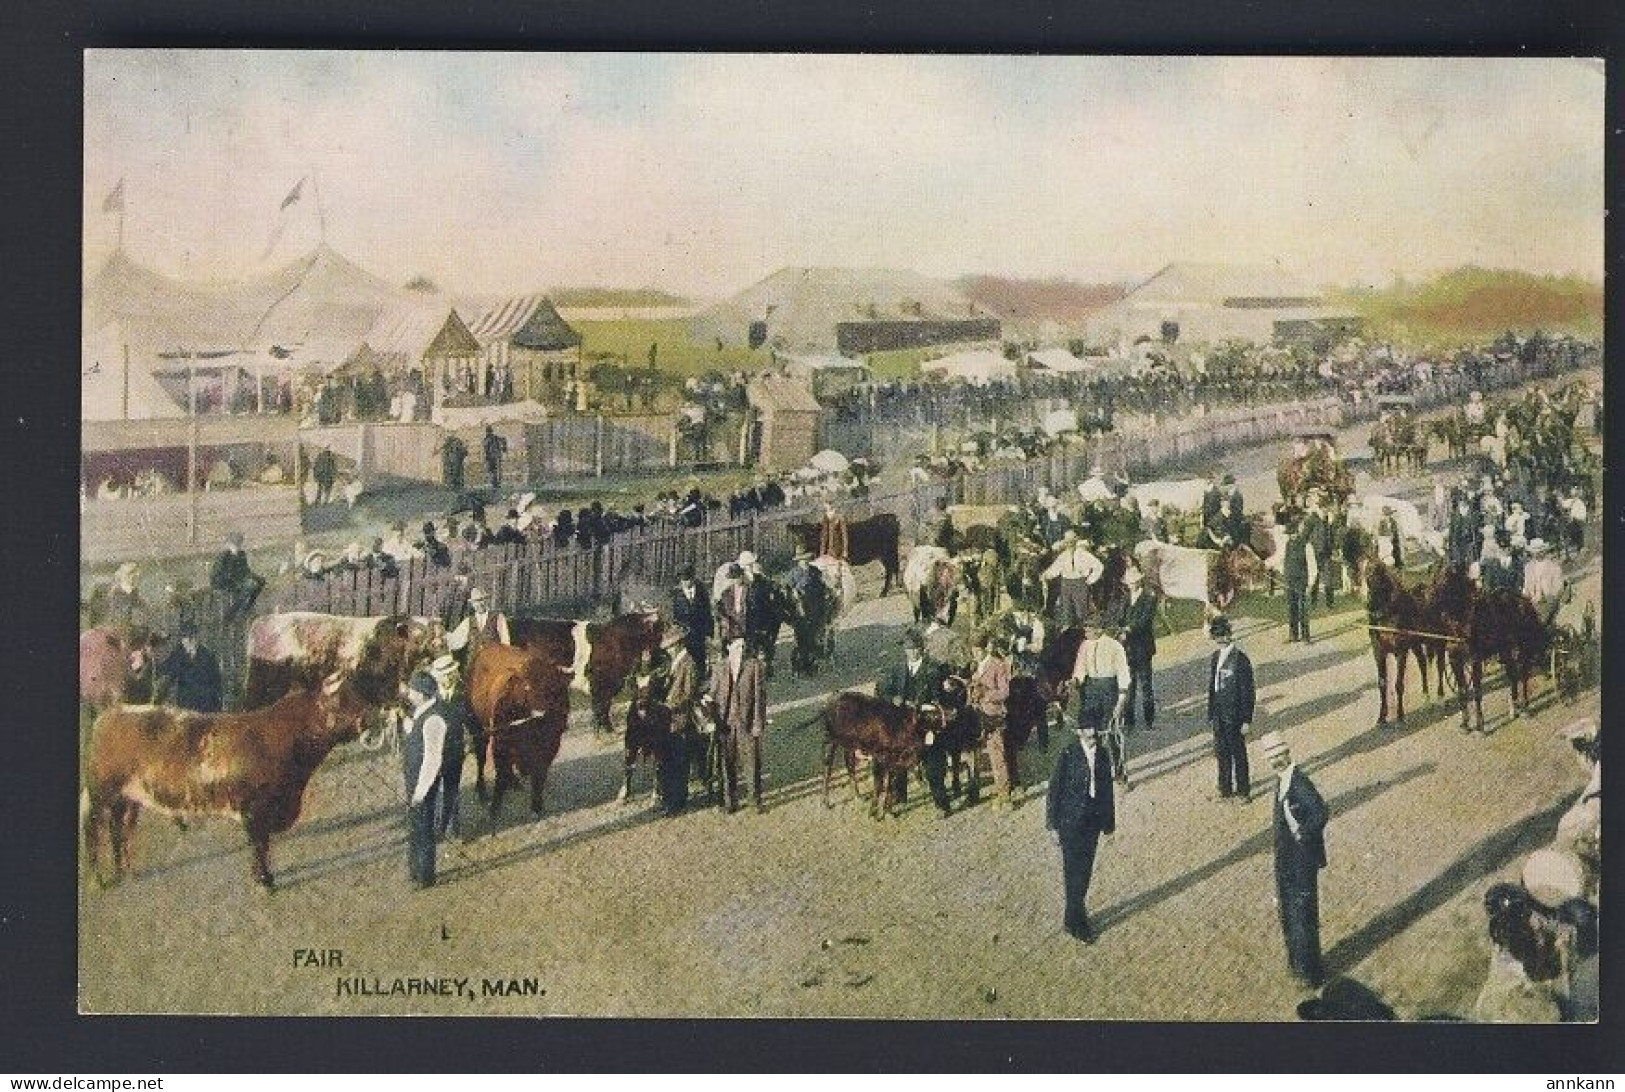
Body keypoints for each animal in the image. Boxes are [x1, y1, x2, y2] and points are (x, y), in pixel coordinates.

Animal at [83, 672, 365, 897]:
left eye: (355, 694)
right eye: (338, 701)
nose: (367, 718)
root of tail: (112, 713)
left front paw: (265, 879)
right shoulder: (254, 811)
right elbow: (259, 846)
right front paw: (264, 882)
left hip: (126, 797)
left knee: (117, 829)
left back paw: (124, 870)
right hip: (101, 793)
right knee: (93, 830)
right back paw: (98, 881)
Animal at [464, 643, 572, 815]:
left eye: (552, 689)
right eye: (526, 688)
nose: (540, 713)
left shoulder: (551, 745)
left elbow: (540, 774)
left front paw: (537, 806)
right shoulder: (500, 744)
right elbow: (500, 776)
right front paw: (494, 810)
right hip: (477, 728)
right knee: (481, 759)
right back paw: (482, 792)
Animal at [503, 614, 663, 734]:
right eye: (657, 634)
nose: (658, 660)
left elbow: (604, 706)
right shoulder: (600, 683)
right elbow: (601, 707)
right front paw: (604, 730)